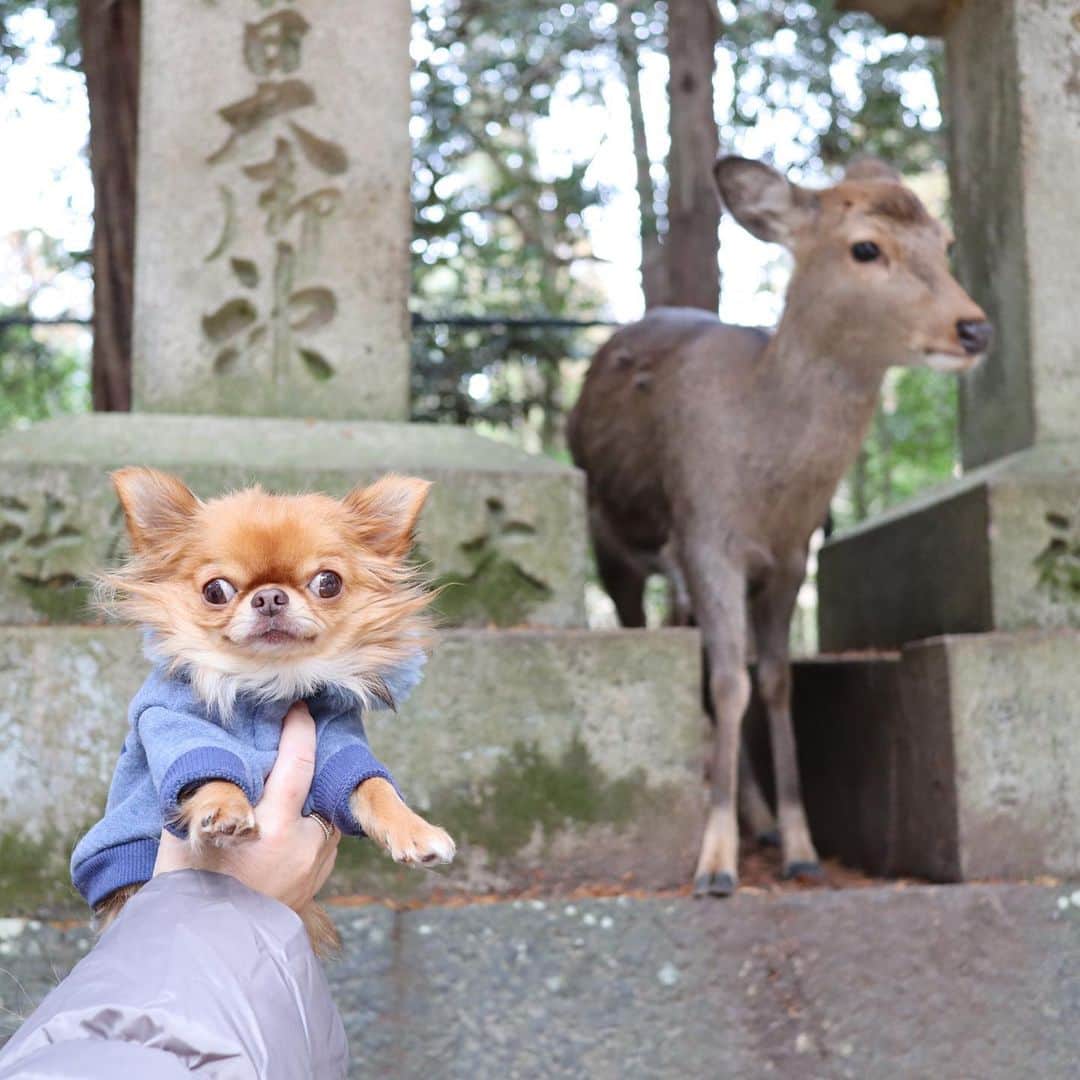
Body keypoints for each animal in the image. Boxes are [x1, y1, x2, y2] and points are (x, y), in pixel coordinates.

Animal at [567, 155, 992, 896]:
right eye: (865, 248)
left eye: (944, 241)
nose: (973, 329)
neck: (767, 487)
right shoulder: (706, 535)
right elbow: (729, 683)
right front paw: (714, 864)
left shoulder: (795, 554)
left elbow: (771, 681)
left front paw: (800, 846)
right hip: (612, 540)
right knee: (647, 628)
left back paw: (760, 819)